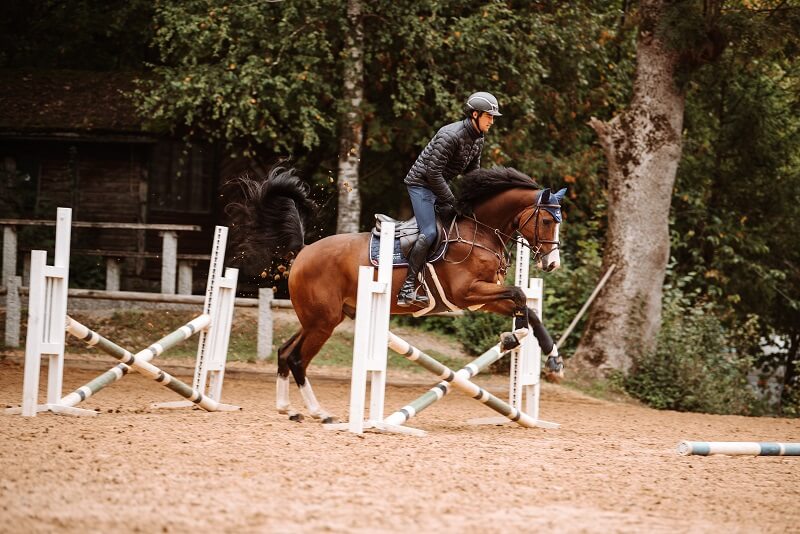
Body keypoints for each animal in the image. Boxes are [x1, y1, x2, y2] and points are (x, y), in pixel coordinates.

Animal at [222, 165, 564, 426]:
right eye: (547, 221)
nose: (552, 264)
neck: (478, 232)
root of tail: (304, 251)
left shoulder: (482, 299)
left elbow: (527, 308)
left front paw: (551, 358)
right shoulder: (466, 293)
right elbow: (520, 294)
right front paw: (516, 339)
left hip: (320, 319)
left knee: (284, 351)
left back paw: (288, 409)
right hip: (323, 322)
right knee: (296, 359)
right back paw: (321, 413)